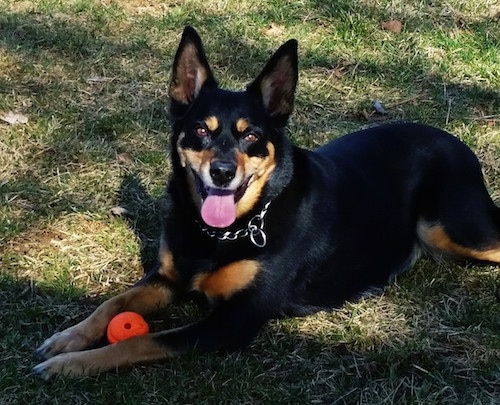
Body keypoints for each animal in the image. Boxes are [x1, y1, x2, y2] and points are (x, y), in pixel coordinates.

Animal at [32, 26, 500, 378]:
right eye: (200, 130)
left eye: (252, 135)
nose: (222, 172)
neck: (223, 232)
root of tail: (457, 143)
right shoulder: (165, 278)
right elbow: (111, 304)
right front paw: (67, 339)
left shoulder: (233, 320)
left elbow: (143, 339)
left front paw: (73, 364)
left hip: (453, 228)